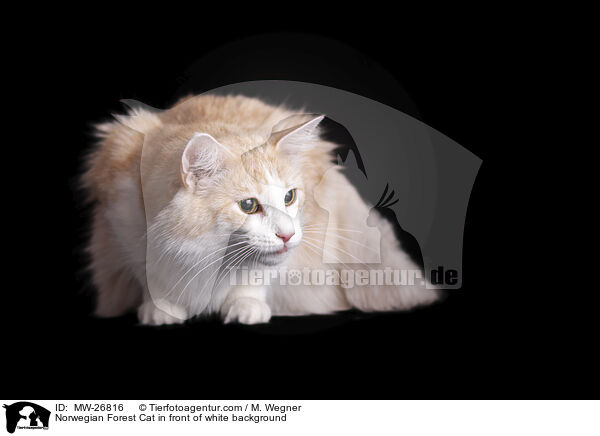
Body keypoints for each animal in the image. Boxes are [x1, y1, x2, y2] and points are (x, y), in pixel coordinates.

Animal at [82, 93, 438, 324]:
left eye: (289, 197)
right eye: (249, 205)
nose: (287, 235)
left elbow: (256, 278)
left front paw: (246, 307)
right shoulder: (123, 222)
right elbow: (149, 276)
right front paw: (161, 309)